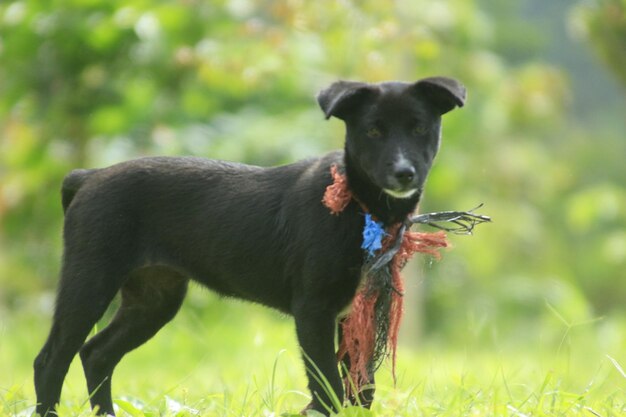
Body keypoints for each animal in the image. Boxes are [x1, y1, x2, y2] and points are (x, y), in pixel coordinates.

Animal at [34, 76, 464, 414]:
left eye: (419, 129)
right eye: (373, 131)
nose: (404, 173)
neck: (357, 205)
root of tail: (89, 176)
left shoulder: (363, 310)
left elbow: (361, 389)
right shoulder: (314, 309)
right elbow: (327, 387)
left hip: (153, 298)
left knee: (97, 353)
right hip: (90, 280)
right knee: (51, 360)